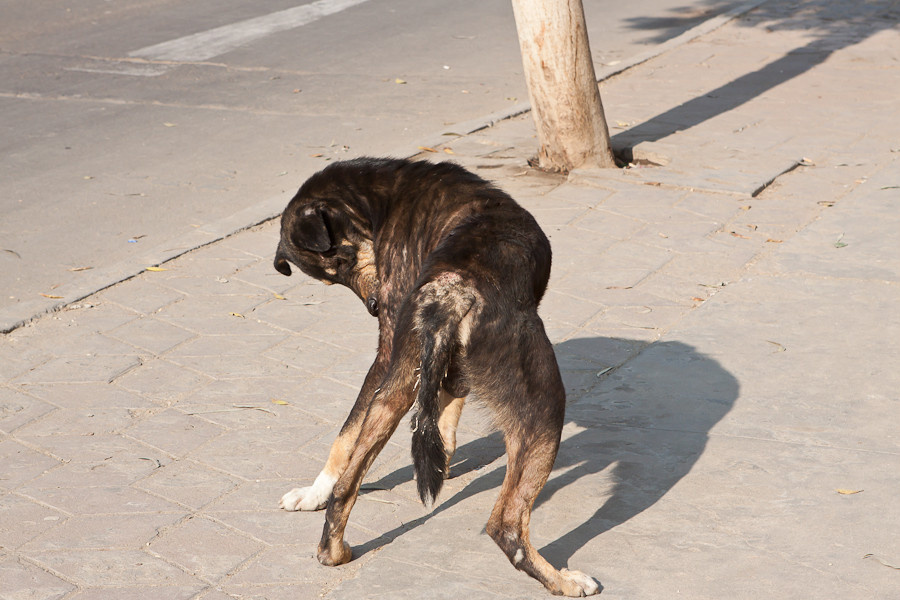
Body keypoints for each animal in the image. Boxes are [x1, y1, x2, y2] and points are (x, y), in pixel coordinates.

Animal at [272, 156, 596, 596]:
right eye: (334, 274)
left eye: (342, 262)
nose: (375, 306)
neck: (385, 197)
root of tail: (450, 290)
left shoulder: (411, 359)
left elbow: (355, 434)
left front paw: (313, 493)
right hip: (543, 406)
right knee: (506, 526)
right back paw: (561, 581)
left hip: (395, 384)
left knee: (347, 483)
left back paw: (332, 550)